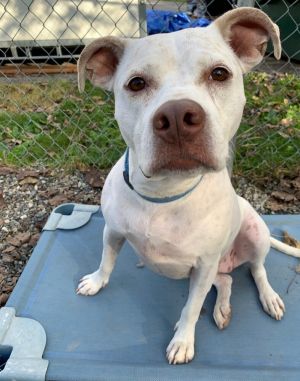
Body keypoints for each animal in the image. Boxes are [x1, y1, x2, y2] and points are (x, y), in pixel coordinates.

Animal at [75, 7, 300, 364]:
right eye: (136, 83)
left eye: (219, 74)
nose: (178, 115)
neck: (163, 194)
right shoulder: (112, 231)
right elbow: (106, 260)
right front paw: (97, 281)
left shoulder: (203, 266)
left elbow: (191, 308)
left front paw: (182, 341)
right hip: (217, 269)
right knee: (226, 280)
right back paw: (222, 309)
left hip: (254, 234)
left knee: (257, 269)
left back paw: (269, 297)